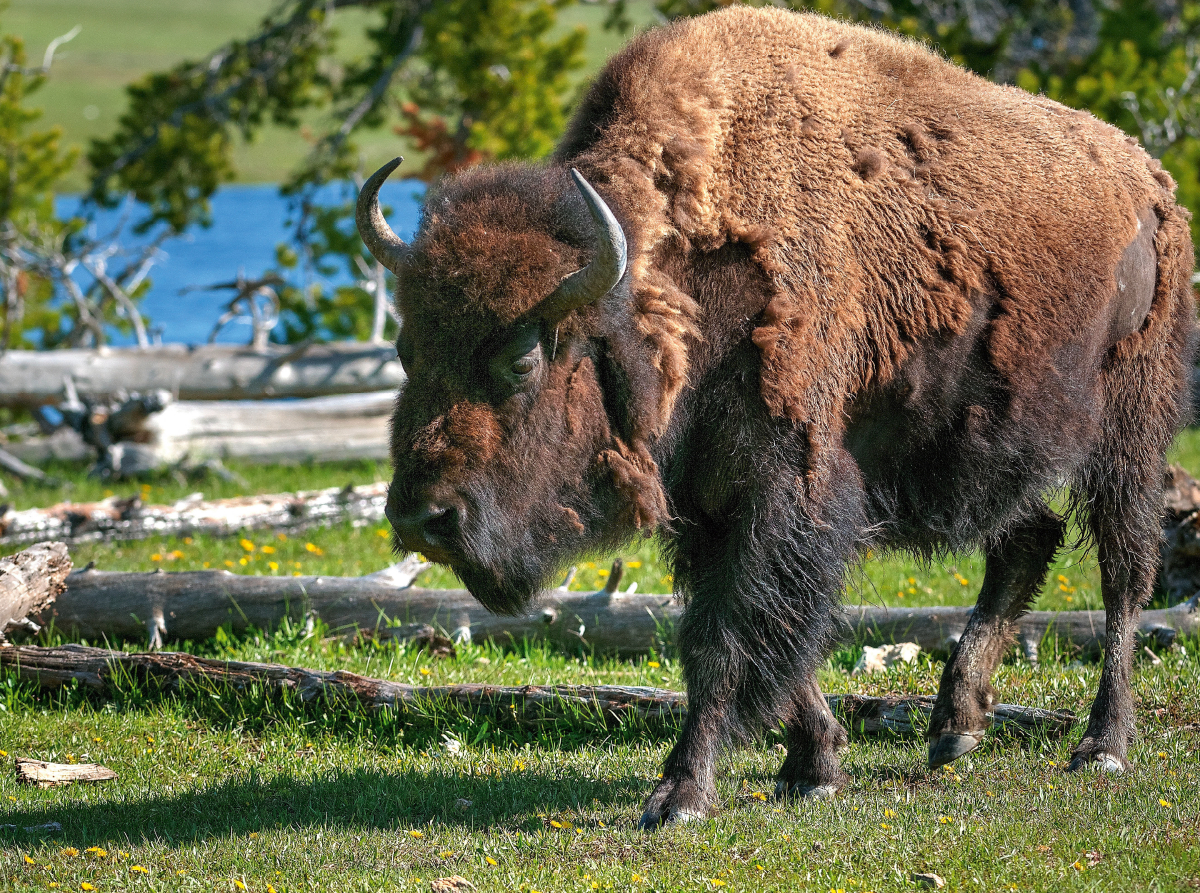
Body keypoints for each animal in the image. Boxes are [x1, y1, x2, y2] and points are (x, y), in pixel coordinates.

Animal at [360, 8, 1195, 830]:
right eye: (405, 347)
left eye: (522, 360)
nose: (422, 518)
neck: (669, 288)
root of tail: (1148, 181)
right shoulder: (707, 502)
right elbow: (752, 634)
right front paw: (813, 764)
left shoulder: (784, 484)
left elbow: (728, 636)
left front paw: (680, 794)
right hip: (986, 444)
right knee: (1029, 538)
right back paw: (955, 726)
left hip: (1128, 426)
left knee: (1124, 570)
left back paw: (1102, 744)